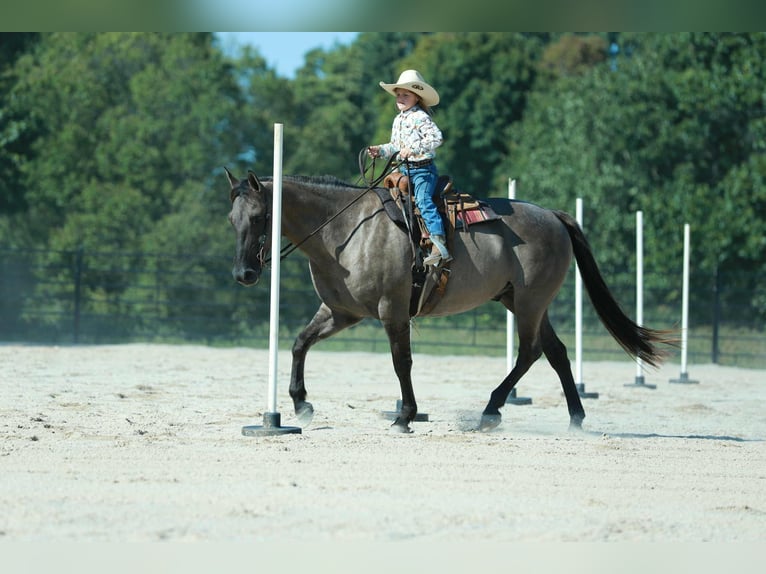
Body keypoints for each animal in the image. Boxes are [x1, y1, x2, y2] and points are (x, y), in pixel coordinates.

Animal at [225, 167, 675, 433]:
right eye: (232, 219)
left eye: (259, 216)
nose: (244, 274)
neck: (347, 230)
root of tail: (553, 216)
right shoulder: (342, 312)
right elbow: (300, 343)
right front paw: (302, 404)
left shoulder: (391, 311)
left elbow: (401, 362)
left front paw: (405, 416)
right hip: (521, 301)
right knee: (557, 352)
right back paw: (575, 419)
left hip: (530, 303)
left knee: (530, 351)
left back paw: (491, 411)